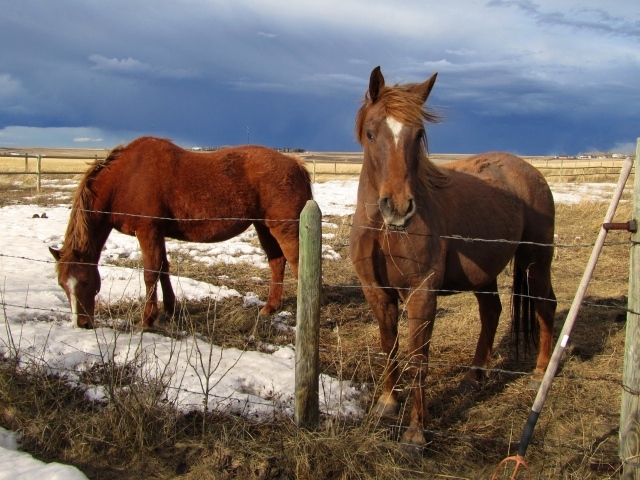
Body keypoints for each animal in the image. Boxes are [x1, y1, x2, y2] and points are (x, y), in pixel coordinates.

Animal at [48, 137, 312, 328]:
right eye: (62, 285)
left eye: (84, 281)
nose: (81, 324)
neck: (124, 179)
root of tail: (296, 165)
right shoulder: (158, 234)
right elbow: (163, 268)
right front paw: (169, 309)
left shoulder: (148, 231)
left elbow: (150, 273)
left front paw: (147, 320)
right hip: (263, 226)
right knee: (277, 262)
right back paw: (270, 307)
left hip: (284, 229)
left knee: (298, 264)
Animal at [350, 66, 556, 446]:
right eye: (371, 133)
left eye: (418, 135)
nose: (398, 208)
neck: (382, 230)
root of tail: (530, 171)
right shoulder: (376, 292)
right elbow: (389, 345)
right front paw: (387, 401)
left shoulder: (422, 293)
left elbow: (419, 357)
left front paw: (416, 434)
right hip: (486, 273)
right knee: (491, 312)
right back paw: (474, 377)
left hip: (536, 262)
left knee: (545, 306)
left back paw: (539, 374)